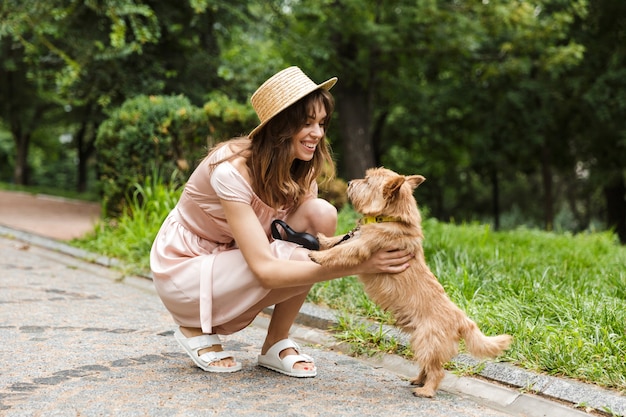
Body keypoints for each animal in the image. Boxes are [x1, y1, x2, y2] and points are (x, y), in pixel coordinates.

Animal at [310, 166, 510, 396]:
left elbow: (341, 250)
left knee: (437, 371)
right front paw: (323, 240)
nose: (350, 182)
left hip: (427, 341)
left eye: (367, 182)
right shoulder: (356, 237)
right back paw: (418, 381)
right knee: (428, 367)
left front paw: (318, 256)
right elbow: (341, 239)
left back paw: (426, 391)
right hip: (423, 343)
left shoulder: (361, 246)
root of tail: (462, 319)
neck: (389, 218)